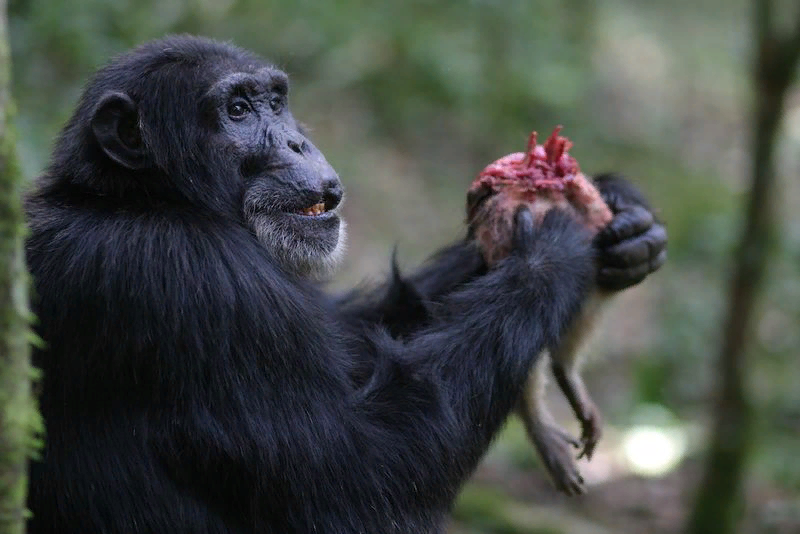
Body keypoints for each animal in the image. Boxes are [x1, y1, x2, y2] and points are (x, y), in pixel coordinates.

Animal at [21, 34, 664, 534]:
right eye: (237, 109)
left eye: (275, 102)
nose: (297, 141)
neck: (143, 198)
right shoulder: (190, 279)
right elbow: (361, 477)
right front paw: (554, 246)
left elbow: (357, 342)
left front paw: (625, 213)